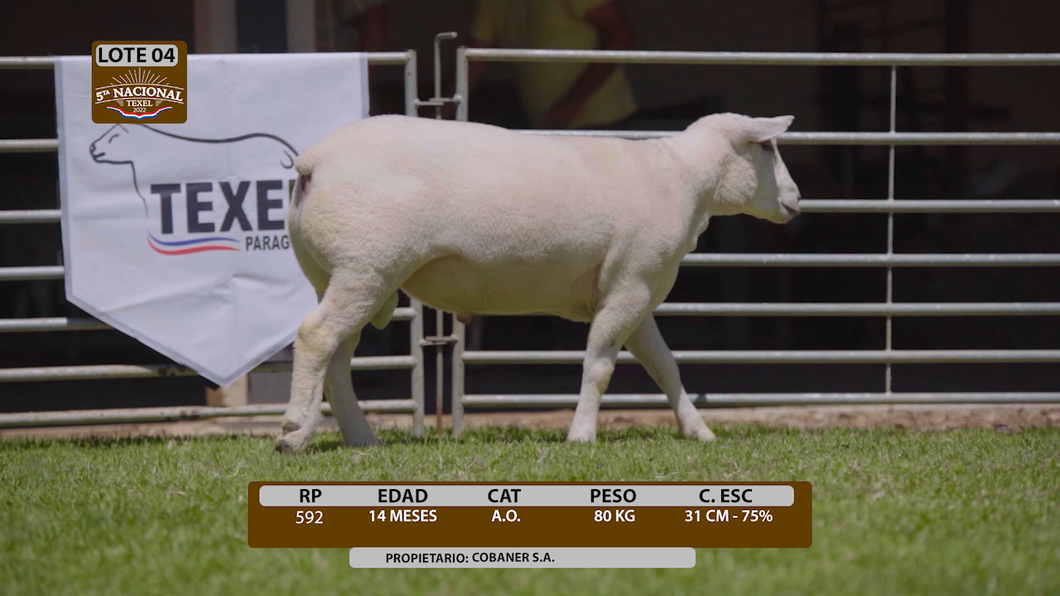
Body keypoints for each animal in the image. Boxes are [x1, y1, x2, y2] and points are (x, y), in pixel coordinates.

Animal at [275, 112, 801, 452]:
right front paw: (582, 436)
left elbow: (664, 366)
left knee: (336, 358)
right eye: (767, 147)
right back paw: (294, 430)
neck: (687, 179)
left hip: (343, 273)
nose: (797, 199)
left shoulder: (630, 286)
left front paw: (698, 431)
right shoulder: (632, 282)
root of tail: (313, 162)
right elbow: (600, 365)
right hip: (367, 265)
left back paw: (354, 439)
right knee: (316, 335)